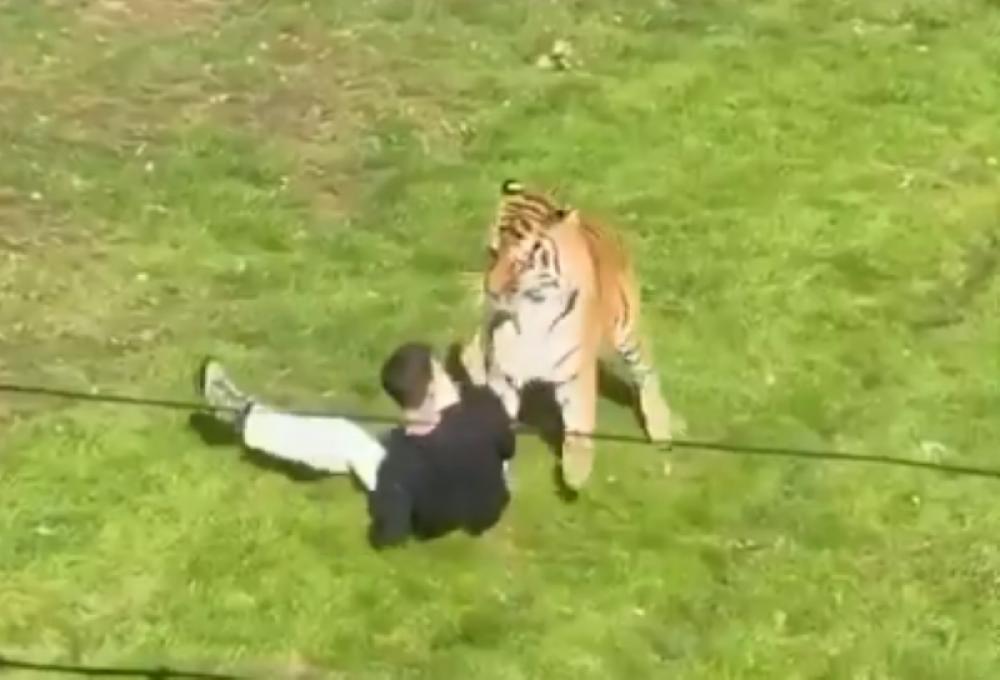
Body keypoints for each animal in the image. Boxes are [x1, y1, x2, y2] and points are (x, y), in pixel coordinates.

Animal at [460, 179, 677, 490]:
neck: (532, 310)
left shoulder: (575, 370)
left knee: (647, 372)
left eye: (520, 263)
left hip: (626, 329)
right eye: (492, 253)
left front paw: (575, 473)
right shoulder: (504, 369)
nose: (490, 291)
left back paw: (660, 429)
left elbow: (579, 421)